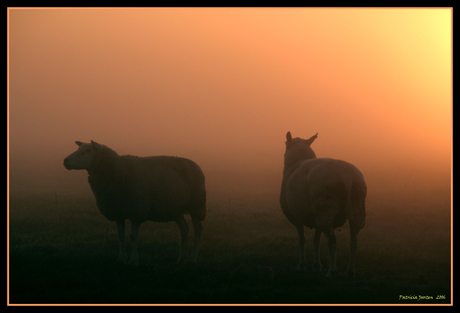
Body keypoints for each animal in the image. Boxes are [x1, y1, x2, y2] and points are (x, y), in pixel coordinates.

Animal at [62, 140, 206, 264]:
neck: (117, 170)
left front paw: (133, 260)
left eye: (87, 151)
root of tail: (195, 164)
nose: (65, 160)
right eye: (79, 149)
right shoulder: (118, 211)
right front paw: (121, 258)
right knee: (185, 229)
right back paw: (181, 258)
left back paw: (193, 258)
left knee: (198, 230)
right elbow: (120, 235)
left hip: (197, 205)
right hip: (175, 208)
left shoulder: (138, 210)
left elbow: (132, 236)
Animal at [278, 130, 368, 276]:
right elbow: (316, 241)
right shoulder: (316, 219)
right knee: (353, 240)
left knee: (332, 239)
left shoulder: (296, 217)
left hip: (325, 209)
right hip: (356, 208)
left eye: (286, 143)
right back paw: (350, 270)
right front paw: (317, 266)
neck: (295, 162)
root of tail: (345, 174)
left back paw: (332, 271)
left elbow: (301, 240)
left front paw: (301, 265)